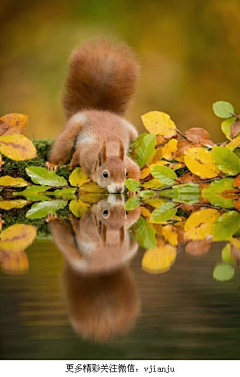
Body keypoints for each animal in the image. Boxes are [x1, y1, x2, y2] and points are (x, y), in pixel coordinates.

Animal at [48, 38, 142, 192]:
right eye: (105, 174)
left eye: (125, 173)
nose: (119, 189)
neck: (109, 150)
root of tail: (97, 110)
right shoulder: (85, 153)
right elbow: (76, 155)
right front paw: (71, 165)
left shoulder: (127, 163)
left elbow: (136, 170)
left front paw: (133, 190)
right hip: (72, 128)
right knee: (62, 146)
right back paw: (53, 164)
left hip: (132, 132)